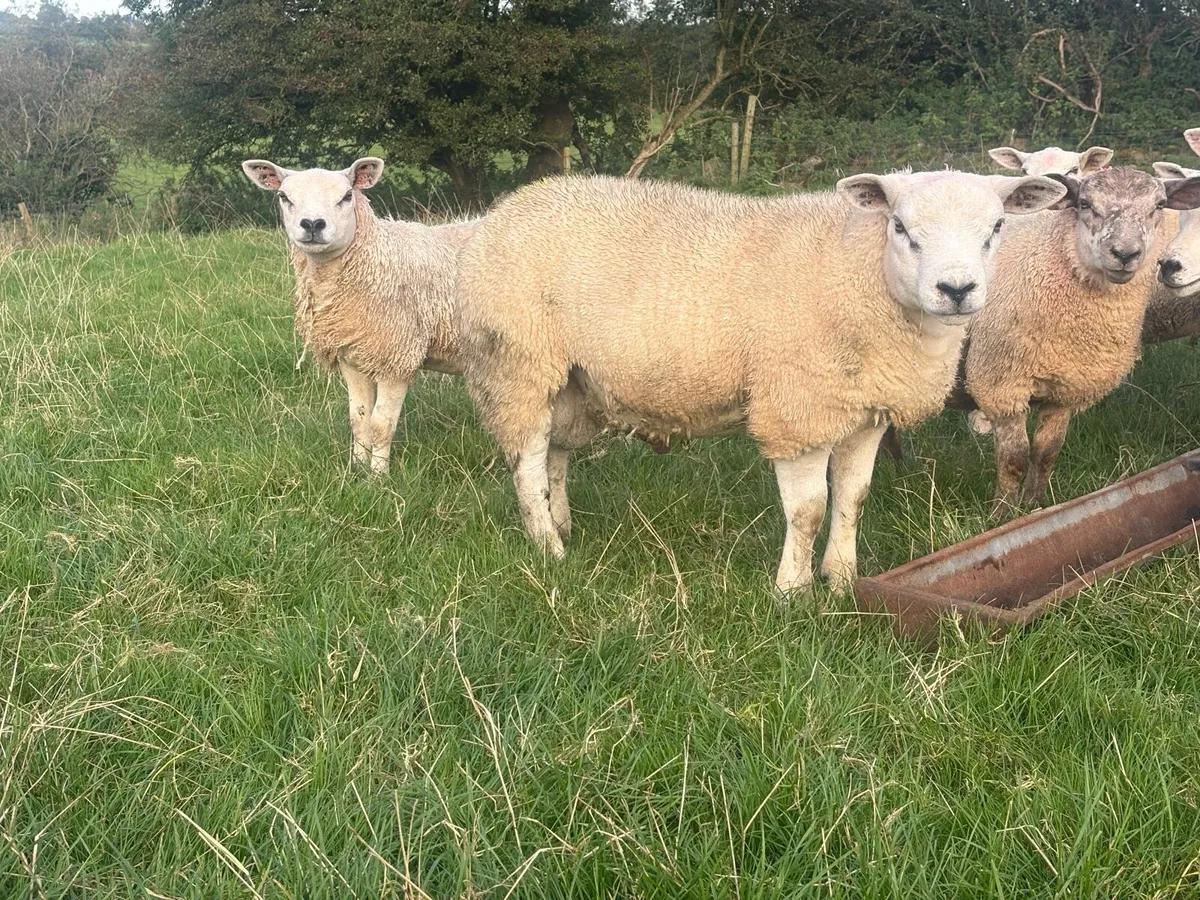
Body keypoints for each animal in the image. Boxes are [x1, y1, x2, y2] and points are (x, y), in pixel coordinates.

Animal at [242, 157, 479, 475]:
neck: (374, 257)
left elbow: (381, 424)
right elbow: (359, 418)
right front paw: (356, 468)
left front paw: (378, 476)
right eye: (284, 196)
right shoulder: (350, 356)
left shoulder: (397, 358)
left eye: (346, 196)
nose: (313, 224)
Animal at [455, 171, 1065, 593]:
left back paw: (563, 524)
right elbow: (809, 510)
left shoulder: (866, 410)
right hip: (516, 363)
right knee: (526, 460)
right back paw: (548, 548)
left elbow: (853, 497)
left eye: (997, 228)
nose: (956, 289)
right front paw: (792, 592)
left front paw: (841, 580)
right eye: (900, 227)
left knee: (554, 454)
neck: (859, 272)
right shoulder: (799, 408)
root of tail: (508, 206)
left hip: (571, 382)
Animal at [960, 167, 1200, 513]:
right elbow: (1013, 458)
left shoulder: (1066, 384)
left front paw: (1036, 504)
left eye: (1159, 205)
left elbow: (1046, 451)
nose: (1125, 254)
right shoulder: (1002, 382)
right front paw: (1003, 513)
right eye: (1085, 203)